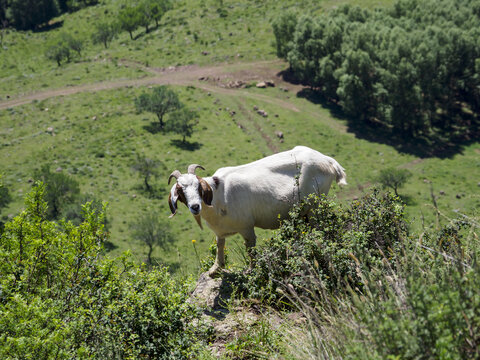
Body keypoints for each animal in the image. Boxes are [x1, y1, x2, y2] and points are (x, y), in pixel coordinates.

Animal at [169, 145, 344, 278]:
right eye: (181, 191)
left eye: (198, 186)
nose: (195, 206)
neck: (218, 194)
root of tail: (328, 161)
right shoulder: (220, 231)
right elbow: (220, 246)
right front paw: (215, 270)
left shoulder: (246, 227)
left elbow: (250, 248)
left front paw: (251, 270)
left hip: (315, 204)